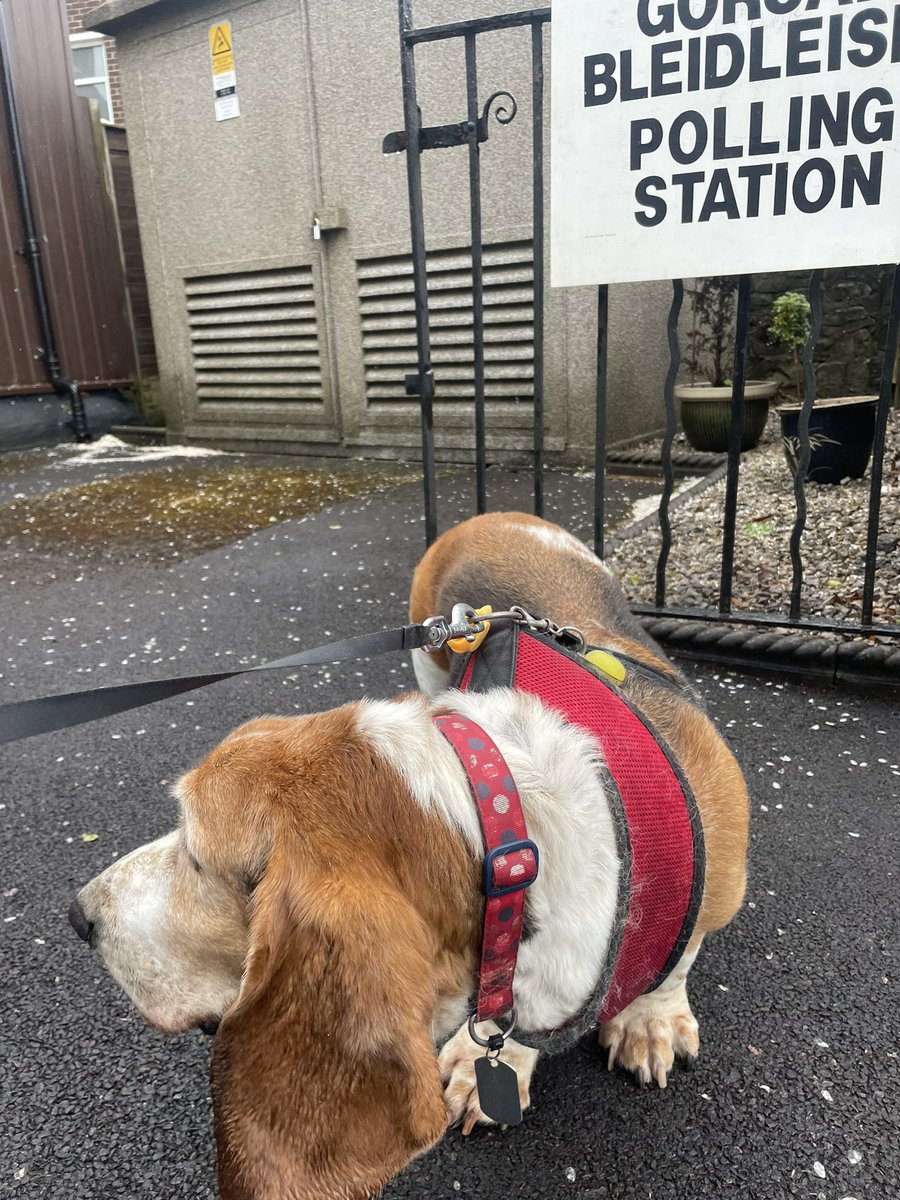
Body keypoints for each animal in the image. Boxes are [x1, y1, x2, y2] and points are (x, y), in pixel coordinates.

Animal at [70, 511, 748, 1200]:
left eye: (197, 858)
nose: (79, 916)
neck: (508, 831)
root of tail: (498, 516)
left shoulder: (721, 880)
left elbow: (677, 960)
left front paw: (648, 1020)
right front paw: (485, 1062)